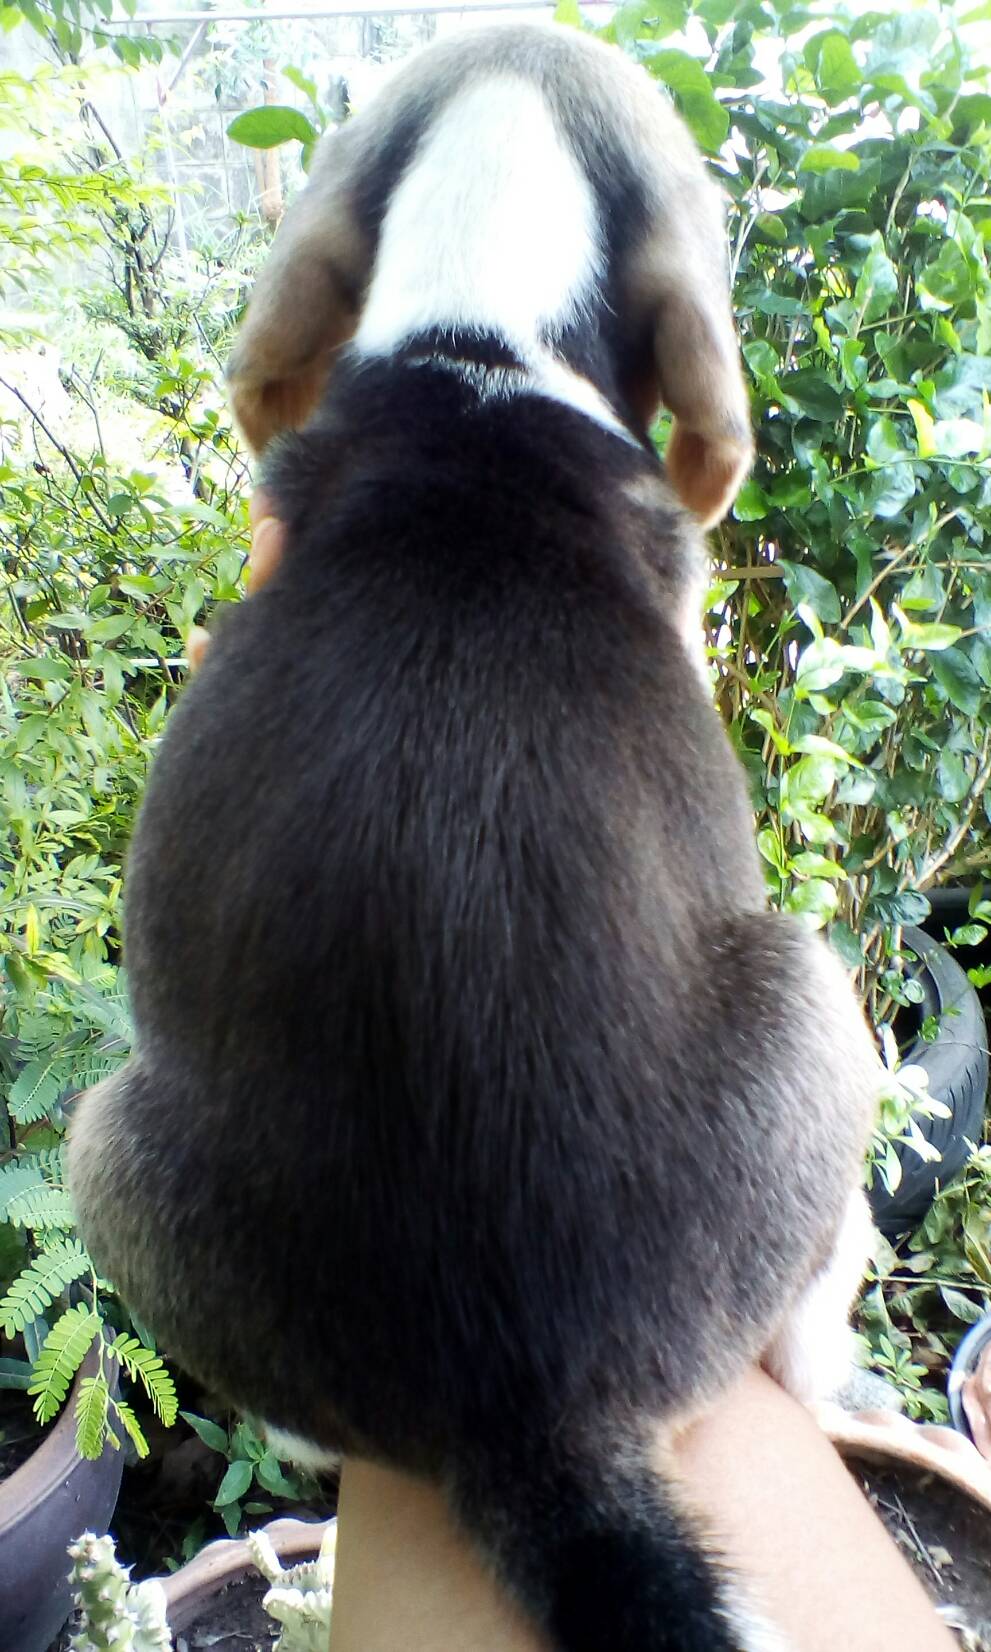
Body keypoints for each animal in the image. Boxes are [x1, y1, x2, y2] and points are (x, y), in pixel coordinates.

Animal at [69, 24, 880, 1651]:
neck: (481, 346)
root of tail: (531, 1409)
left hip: (116, 1144)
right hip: (814, 1000)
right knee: (800, 1307)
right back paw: (828, 1378)